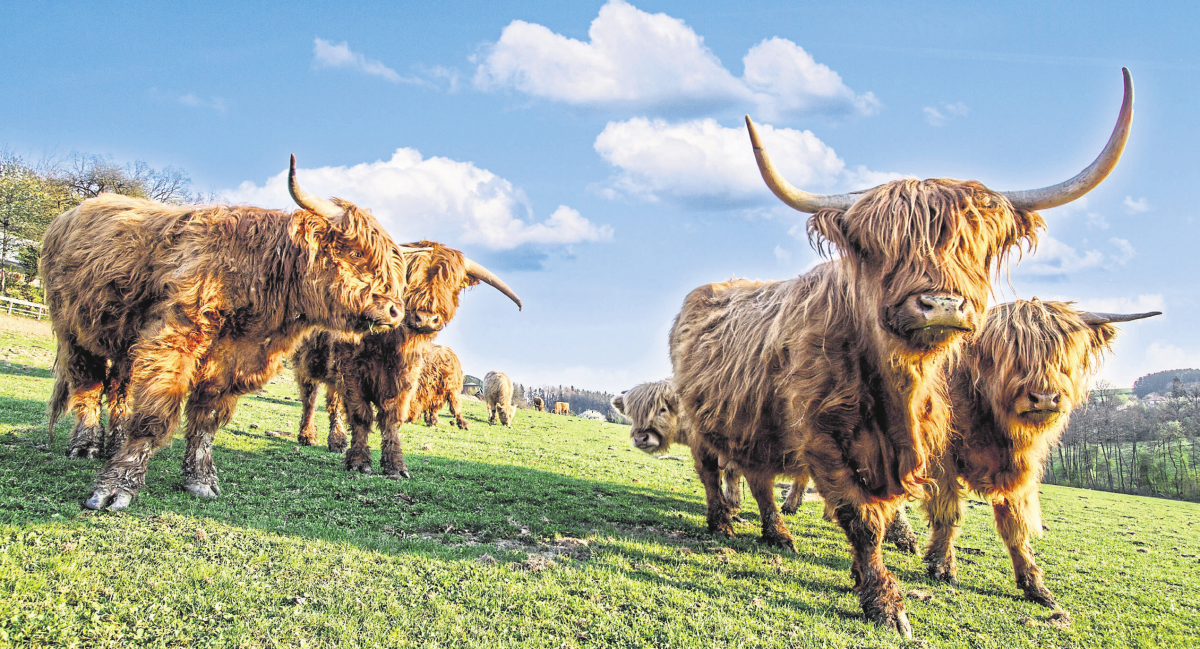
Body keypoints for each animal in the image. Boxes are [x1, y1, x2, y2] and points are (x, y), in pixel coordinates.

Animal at [43, 154, 408, 508]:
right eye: (357, 252)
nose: (395, 311)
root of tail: (69, 214)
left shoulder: (229, 361)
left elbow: (206, 419)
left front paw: (200, 479)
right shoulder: (172, 342)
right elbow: (153, 414)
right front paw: (116, 485)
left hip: (122, 345)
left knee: (119, 389)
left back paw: (114, 440)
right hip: (73, 333)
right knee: (88, 386)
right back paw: (85, 445)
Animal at [295, 239, 520, 472]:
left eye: (450, 281)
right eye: (409, 277)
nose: (427, 319)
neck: (389, 344)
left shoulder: (404, 378)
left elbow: (393, 417)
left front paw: (395, 465)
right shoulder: (351, 373)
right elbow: (360, 416)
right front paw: (358, 461)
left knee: (332, 402)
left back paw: (337, 440)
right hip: (306, 362)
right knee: (310, 399)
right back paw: (308, 435)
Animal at [888, 298, 1156, 607]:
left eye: (1063, 353)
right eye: (1010, 353)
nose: (1045, 398)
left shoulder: (1020, 470)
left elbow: (1017, 526)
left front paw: (1035, 585)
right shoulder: (941, 456)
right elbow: (948, 513)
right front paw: (942, 566)